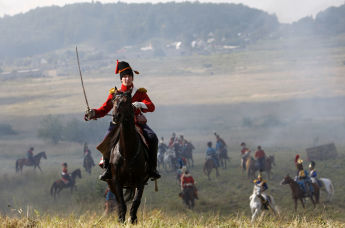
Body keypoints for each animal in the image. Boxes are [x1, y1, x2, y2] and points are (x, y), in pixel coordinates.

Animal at [107, 90, 151, 224]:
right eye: (113, 101)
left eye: (126, 102)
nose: (116, 117)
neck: (127, 152)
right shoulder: (116, 181)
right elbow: (121, 202)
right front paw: (121, 220)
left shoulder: (140, 181)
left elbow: (136, 201)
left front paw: (133, 220)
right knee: (117, 201)